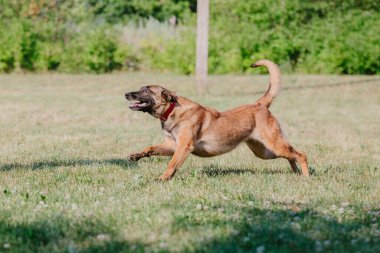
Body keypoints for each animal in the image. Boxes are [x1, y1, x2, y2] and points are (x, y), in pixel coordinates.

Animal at [124, 59, 308, 180]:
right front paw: (137, 155)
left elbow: (171, 164)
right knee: (291, 155)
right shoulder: (172, 145)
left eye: (147, 90)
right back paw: (296, 173)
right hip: (264, 151)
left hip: (273, 144)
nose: (126, 94)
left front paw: (162, 178)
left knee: (301, 154)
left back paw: (306, 176)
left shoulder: (184, 147)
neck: (172, 110)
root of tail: (260, 104)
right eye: (141, 88)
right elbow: (151, 147)